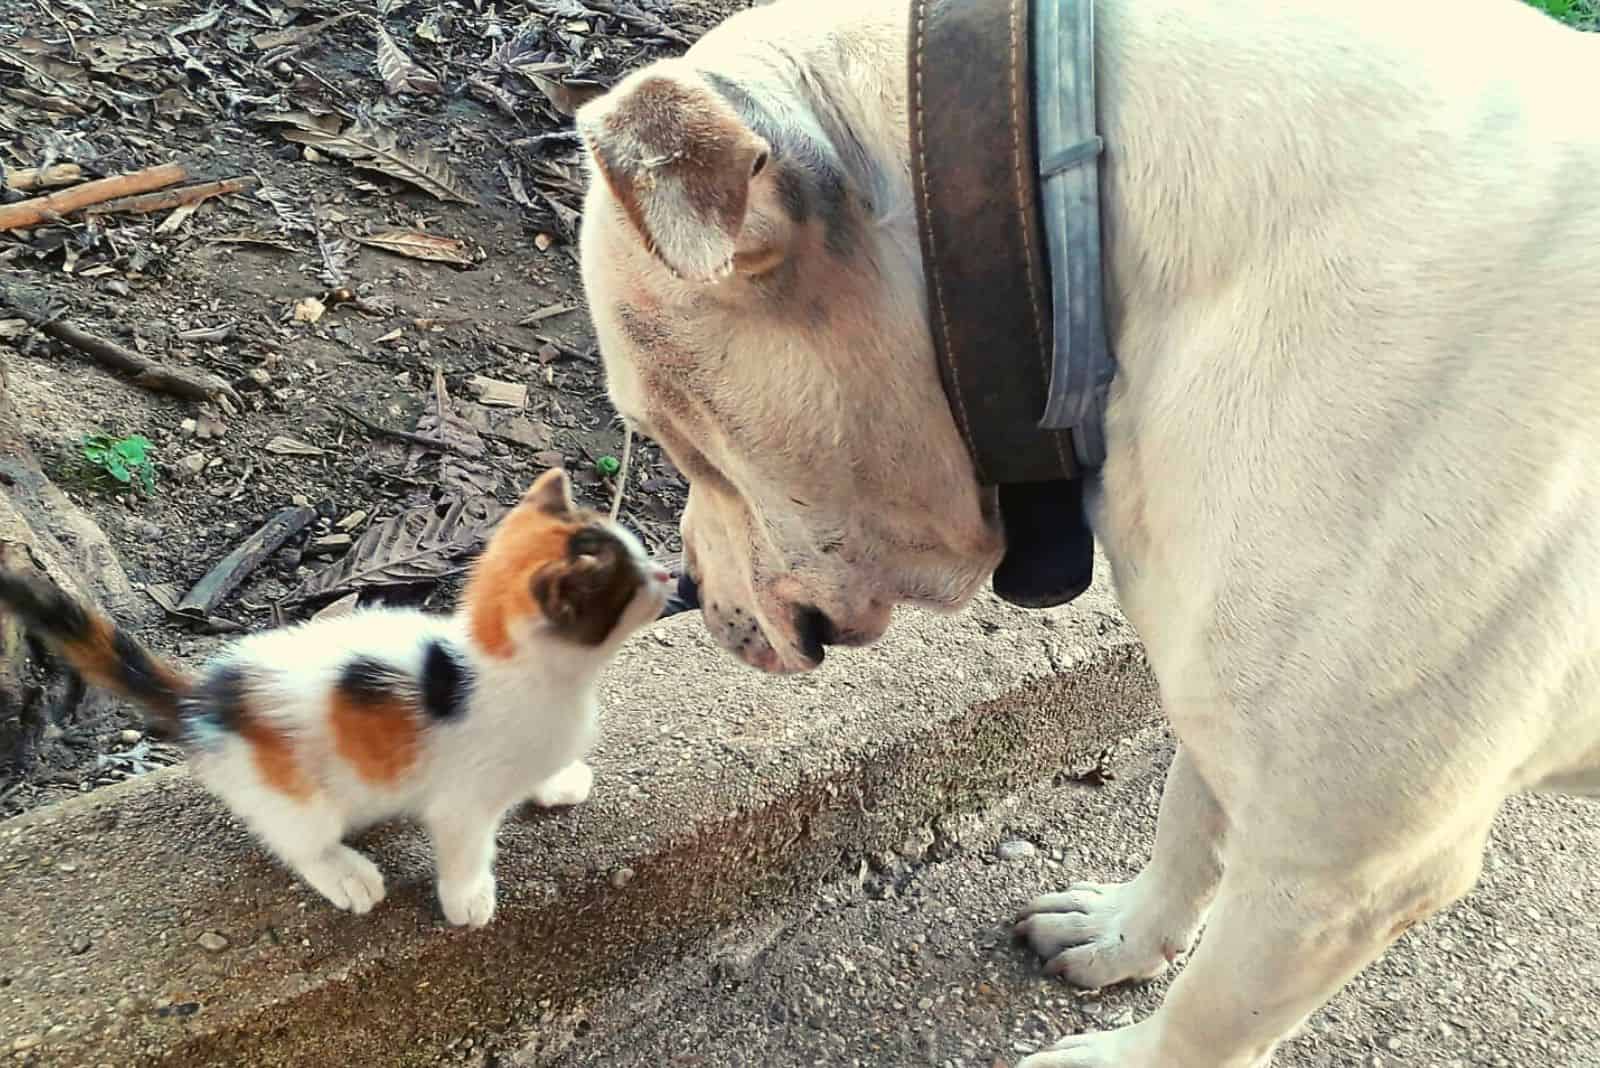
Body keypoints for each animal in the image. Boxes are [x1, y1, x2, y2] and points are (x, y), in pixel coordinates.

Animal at [0, 466, 668, 927]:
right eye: (629, 584)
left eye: (639, 550)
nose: (667, 572)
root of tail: (204, 703)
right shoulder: (461, 802)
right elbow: (464, 847)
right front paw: (467, 899)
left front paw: (557, 781)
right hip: (296, 795)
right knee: (297, 841)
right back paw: (345, 874)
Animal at [576, 4, 1600, 1061]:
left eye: (677, 438)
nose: (688, 587)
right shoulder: (1219, 691)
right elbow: (1188, 827)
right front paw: (1120, 937)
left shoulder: (1337, 871)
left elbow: (1208, 1018)